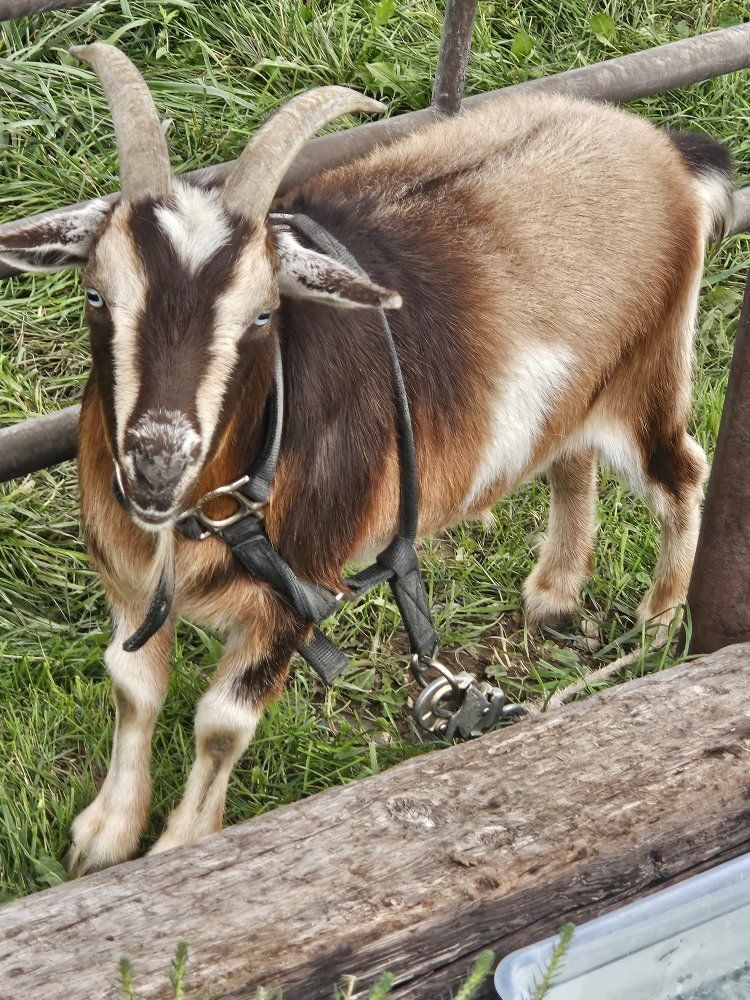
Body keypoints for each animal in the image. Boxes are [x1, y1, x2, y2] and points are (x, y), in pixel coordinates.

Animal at [0, 42, 733, 874]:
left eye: (264, 314)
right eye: (95, 295)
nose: (157, 461)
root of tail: (663, 149)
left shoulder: (297, 598)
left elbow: (221, 724)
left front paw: (183, 847)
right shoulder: (128, 586)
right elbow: (132, 687)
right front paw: (105, 834)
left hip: (650, 372)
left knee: (681, 475)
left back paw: (660, 618)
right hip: (574, 393)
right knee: (569, 459)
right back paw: (553, 593)